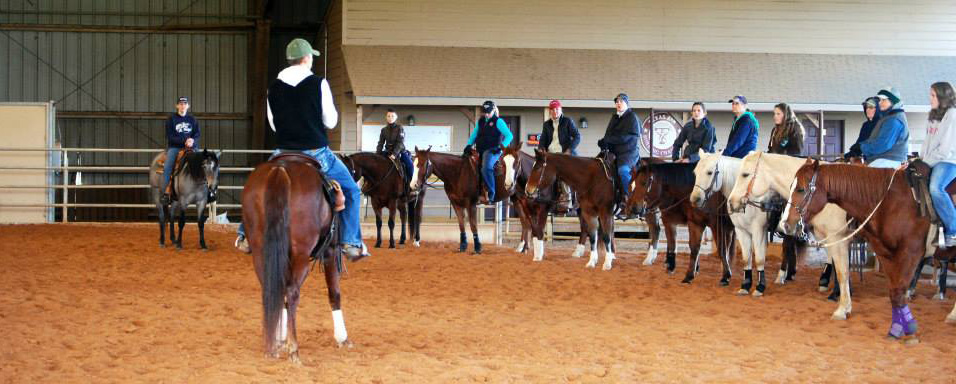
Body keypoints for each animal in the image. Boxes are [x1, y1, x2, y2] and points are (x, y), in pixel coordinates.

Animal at [243, 154, 352, 364]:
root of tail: (281, 169)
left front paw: (280, 338)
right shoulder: (331, 250)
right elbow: (334, 292)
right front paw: (343, 338)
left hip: (261, 251)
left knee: (272, 289)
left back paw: (271, 346)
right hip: (301, 254)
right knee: (292, 292)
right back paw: (294, 349)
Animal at [692, 154, 772, 296]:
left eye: (709, 172)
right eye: (695, 172)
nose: (695, 199)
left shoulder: (757, 230)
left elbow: (758, 257)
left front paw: (759, 287)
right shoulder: (736, 229)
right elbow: (744, 257)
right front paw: (742, 284)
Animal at [784, 160, 940, 340]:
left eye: (801, 189)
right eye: (791, 187)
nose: (785, 224)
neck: (889, 201)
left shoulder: (908, 252)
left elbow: (844, 273)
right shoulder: (883, 251)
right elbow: (891, 289)